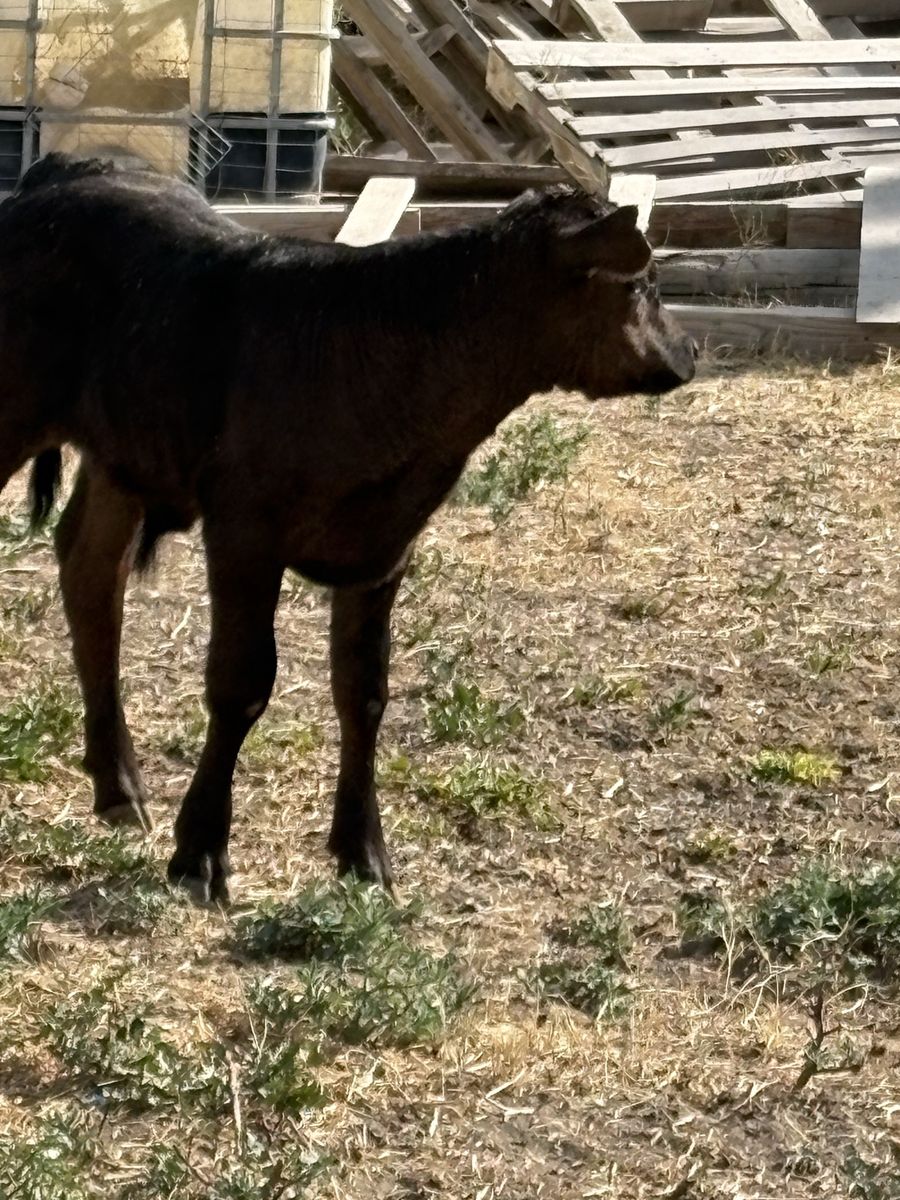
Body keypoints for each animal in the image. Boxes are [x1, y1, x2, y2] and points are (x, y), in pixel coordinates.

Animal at [0, 153, 696, 902]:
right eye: (642, 283)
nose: (688, 353)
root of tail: (68, 170)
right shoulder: (244, 531)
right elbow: (241, 684)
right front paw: (201, 851)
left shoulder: (384, 548)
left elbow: (364, 691)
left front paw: (364, 854)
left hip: (123, 451)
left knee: (91, 573)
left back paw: (120, 787)